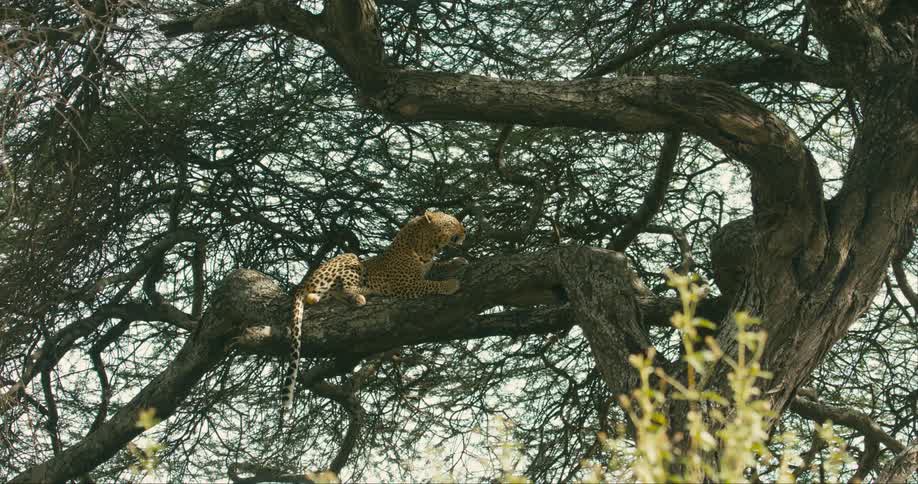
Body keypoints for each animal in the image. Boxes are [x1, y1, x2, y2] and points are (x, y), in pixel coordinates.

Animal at [279, 211, 467, 426]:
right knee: (337, 290)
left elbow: (438, 266)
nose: (465, 232)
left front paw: (457, 261)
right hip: (349, 259)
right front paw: (450, 284)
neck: (425, 247)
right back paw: (363, 294)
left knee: (321, 296)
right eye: (452, 222)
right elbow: (430, 285)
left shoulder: (427, 268)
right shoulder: (406, 285)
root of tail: (304, 282)